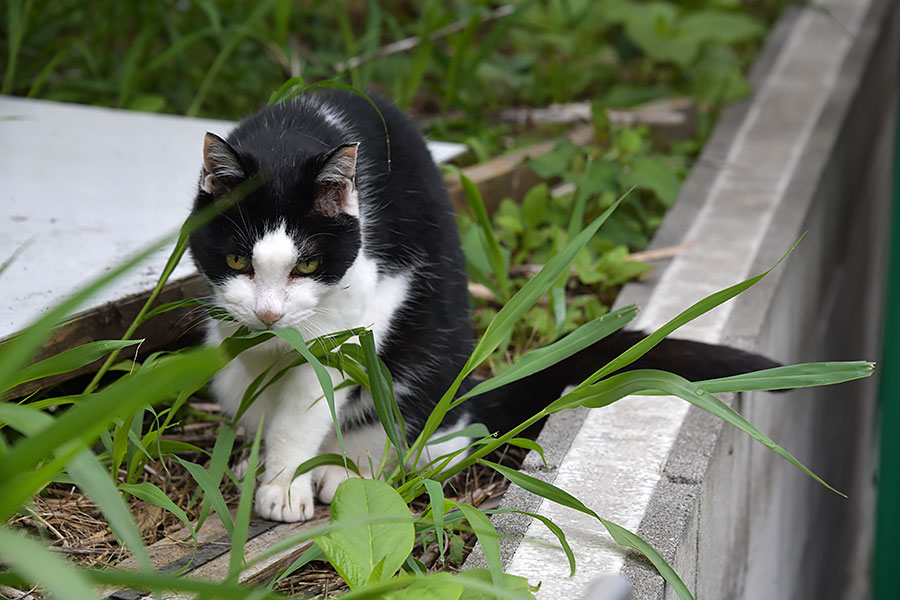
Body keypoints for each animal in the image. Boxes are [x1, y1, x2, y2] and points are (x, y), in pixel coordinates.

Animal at [188, 88, 772, 520]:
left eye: (307, 266)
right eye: (238, 260)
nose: (269, 315)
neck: (291, 133)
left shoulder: (354, 312)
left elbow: (304, 406)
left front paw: (286, 483)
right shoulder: (238, 329)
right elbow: (264, 392)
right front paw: (264, 464)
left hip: (424, 367)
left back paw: (346, 469)